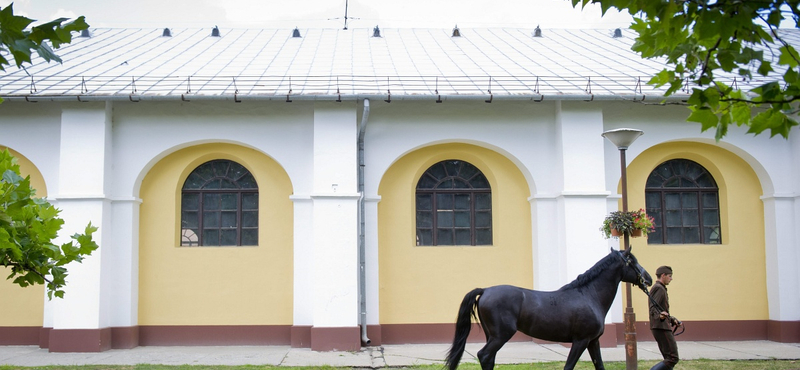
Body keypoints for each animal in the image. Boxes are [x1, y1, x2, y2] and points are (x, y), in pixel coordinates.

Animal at [446, 247, 652, 370]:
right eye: (633, 261)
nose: (648, 279)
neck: (589, 295)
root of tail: (485, 290)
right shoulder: (581, 341)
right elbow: (568, 366)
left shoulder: (593, 342)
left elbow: (599, 365)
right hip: (500, 336)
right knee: (484, 355)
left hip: (492, 335)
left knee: (489, 358)